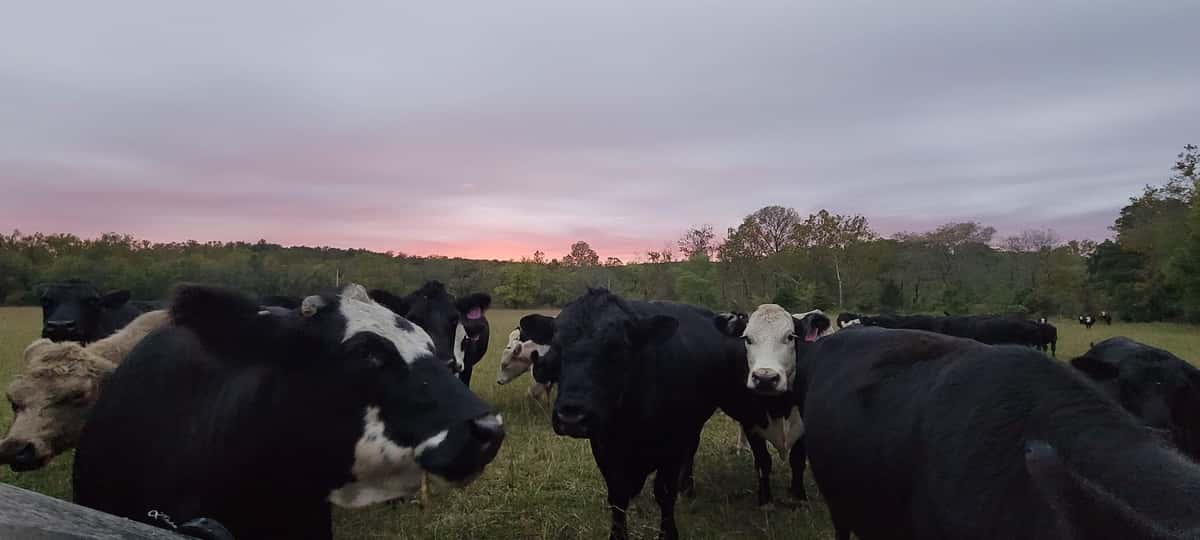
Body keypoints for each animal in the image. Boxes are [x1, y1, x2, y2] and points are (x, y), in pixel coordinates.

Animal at [549, 288, 747, 540]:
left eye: (618, 347)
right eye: (556, 347)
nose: (571, 417)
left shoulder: (672, 445)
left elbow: (664, 493)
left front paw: (668, 533)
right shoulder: (603, 447)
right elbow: (617, 496)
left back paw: (687, 487)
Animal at [713, 305, 831, 507]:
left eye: (790, 337)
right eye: (747, 338)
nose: (765, 379)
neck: (779, 405)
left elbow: (797, 460)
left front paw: (799, 496)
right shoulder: (750, 422)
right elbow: (763, 461)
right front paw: (765, 499)